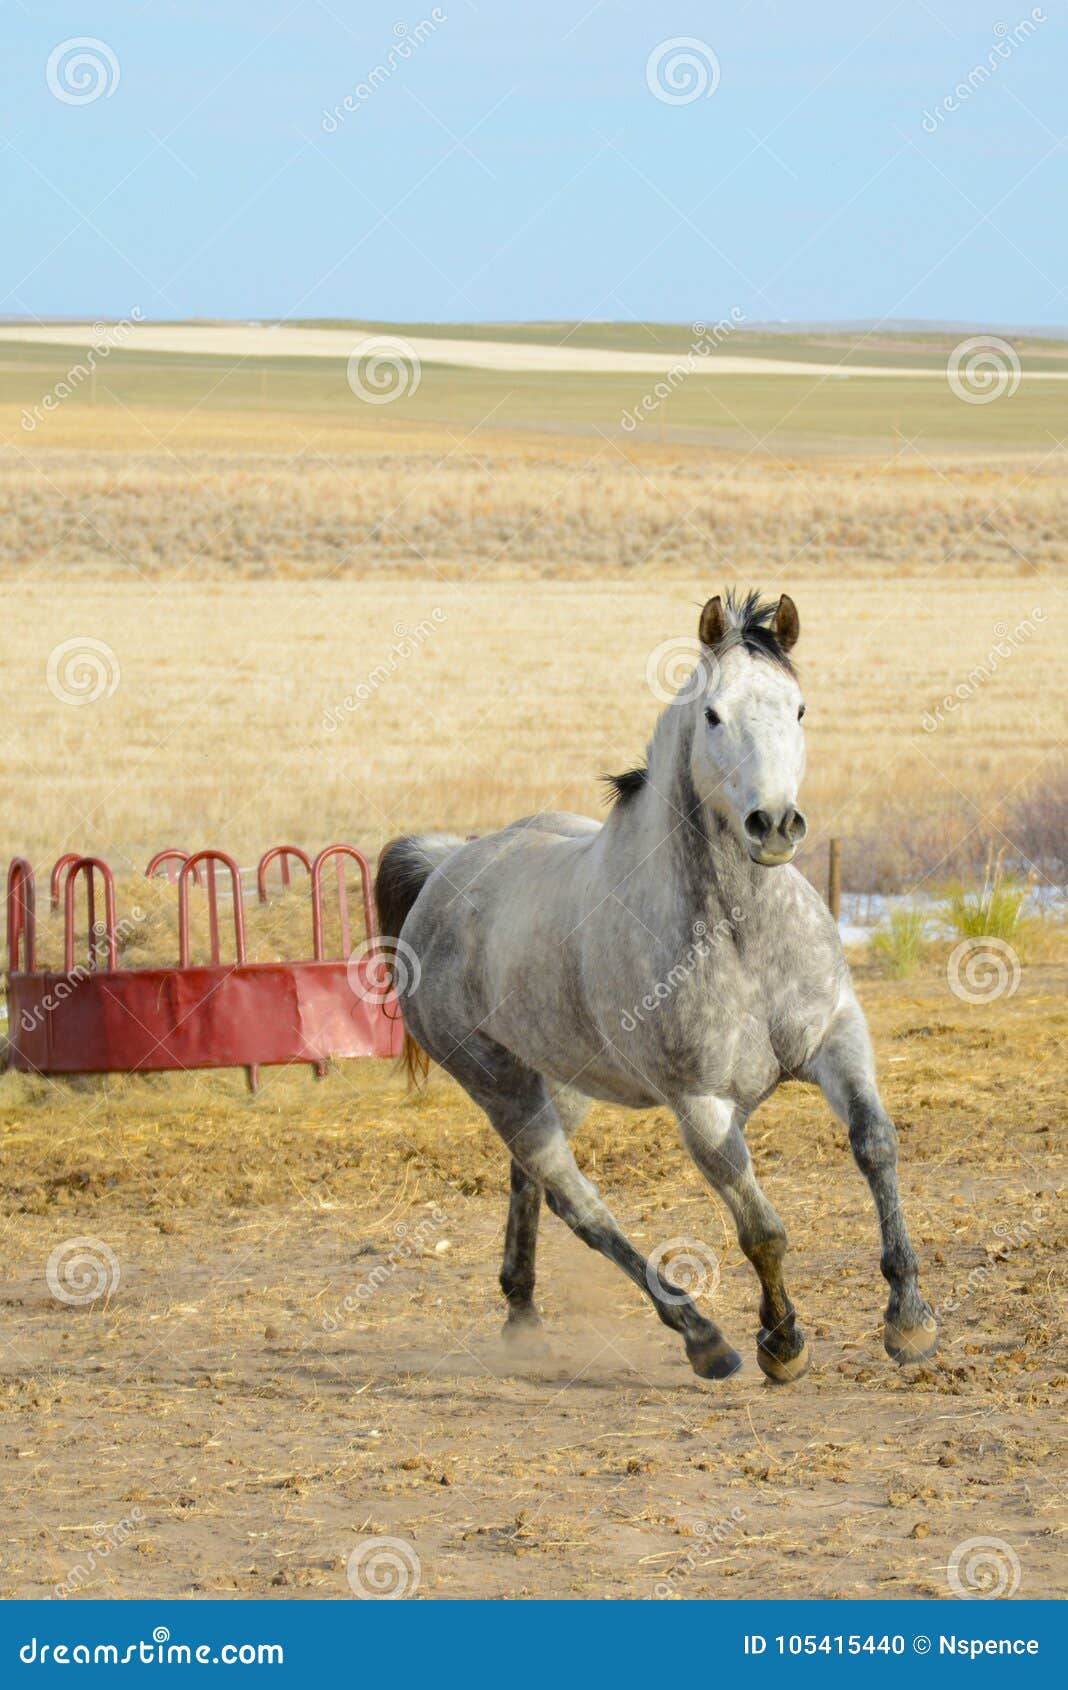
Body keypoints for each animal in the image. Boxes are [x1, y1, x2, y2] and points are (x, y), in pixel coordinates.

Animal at [373, 588, 932, 1379]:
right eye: (713, 715)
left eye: (798, 709)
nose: (774, 824)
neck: (741, 934)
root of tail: (444, 869)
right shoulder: (700, 1105)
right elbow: (761, 1228)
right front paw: (781, 1344)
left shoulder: (836, 1039)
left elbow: (875, 1144)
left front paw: (909, 1320)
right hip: (500, 1087)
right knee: (578, 1203)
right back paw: (702, 1339)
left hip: (562, 1083)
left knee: (529, 1185)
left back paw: (524, 1316)